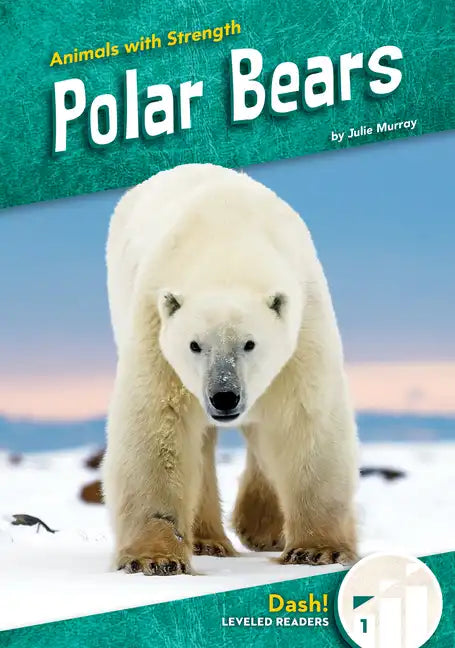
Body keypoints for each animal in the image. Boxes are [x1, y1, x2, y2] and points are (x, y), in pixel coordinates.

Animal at [102, 163, 358, 576]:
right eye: (195, 344)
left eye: (249, 343)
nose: (224, 396)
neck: (226, 244)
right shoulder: (154, 326)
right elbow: (156, 423)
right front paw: (154, 558)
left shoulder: (304, 323)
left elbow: (305, 419)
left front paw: (318, 551)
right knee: (201, 444)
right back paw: (209, 540)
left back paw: (262, 528)